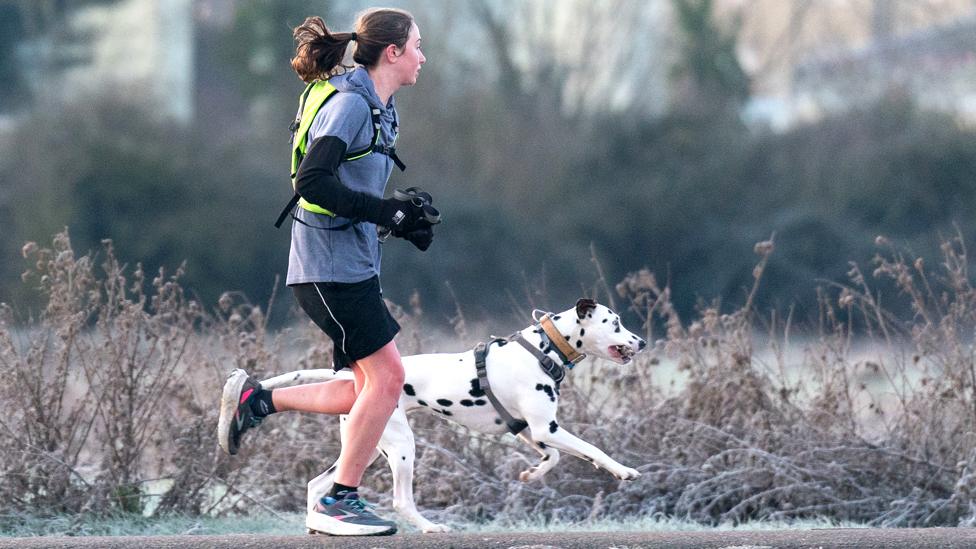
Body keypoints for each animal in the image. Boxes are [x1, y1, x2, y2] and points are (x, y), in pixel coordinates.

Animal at [255, 298, 644, 532]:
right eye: (615, 322)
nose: (641, 342)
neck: (542, 349)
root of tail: (352, 379)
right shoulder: (546, 428)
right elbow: (592, 449)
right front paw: (623, 470)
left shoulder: (528, 430)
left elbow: (555, 458)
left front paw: (532, 474)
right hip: (401, 447)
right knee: (400, 500)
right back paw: (429, 526)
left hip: (366, 448)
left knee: (318, 484)